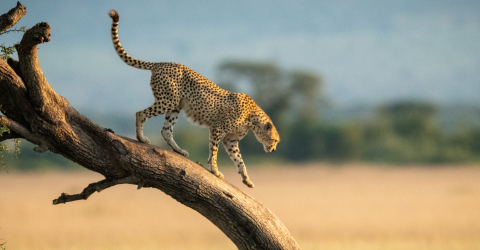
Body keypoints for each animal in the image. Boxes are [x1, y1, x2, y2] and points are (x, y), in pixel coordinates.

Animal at [107, 9, 280, 188]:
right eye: (274, 140)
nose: (273, 149)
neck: (252, 118)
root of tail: (161, 63)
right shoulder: (217, 128)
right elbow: (214, 152)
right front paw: (215, 170)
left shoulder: (231, 139)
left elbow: (239, 159)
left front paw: (246, 179)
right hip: (167, 101)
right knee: (140, 113)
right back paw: (141, 138)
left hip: (175, 105)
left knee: (166, 130)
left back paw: (179, 150)